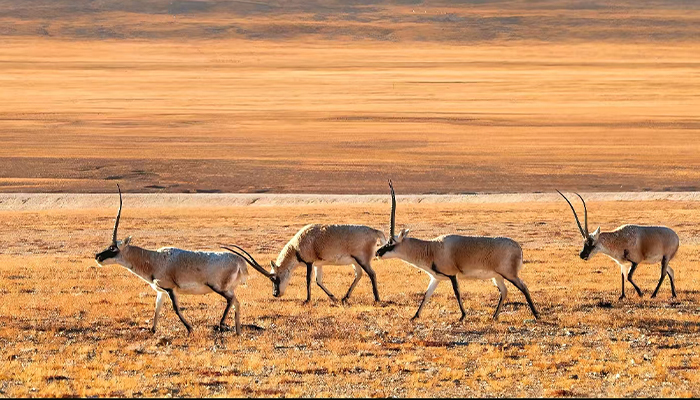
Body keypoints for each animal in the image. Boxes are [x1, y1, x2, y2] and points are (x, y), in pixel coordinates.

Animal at [94, 185, 249, 335]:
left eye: (113, 248)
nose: (97, 256)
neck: (153, 259)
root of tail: (240, 262)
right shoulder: (161, 291)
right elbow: (157, 309)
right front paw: (153, 330)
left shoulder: (170, 288)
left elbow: (175, 308)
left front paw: (189, 328)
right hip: (227, 289)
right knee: (236, 302)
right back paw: (238, 331)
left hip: (219, 287)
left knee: (231, 300)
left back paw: (222, 324)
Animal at [222, 224, 387, 304]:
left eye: (274, 278)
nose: (275, 294)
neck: (296, 245)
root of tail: (374, 231)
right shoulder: (318, 264)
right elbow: (318, 281)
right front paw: (333, 297)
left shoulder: (309, 263)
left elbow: (308, 280)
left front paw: (307, 300)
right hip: (355, 262)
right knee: (359, 274)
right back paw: (345, 297)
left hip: (362, 260)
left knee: (371, 274)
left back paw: (376, 298)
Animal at [375, 181, 539, 321]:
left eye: (390, 242)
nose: (377, 253)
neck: (432, 248)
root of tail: (518, 247)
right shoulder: (435, 278)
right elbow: (426, 295)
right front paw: (415, 316)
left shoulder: (452, 275)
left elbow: (457, 292)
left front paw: (462, 316)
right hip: (497, 277)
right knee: (504, 292)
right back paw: (494, 316)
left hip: (509, 274)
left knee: (524, 287)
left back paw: (536, 314)